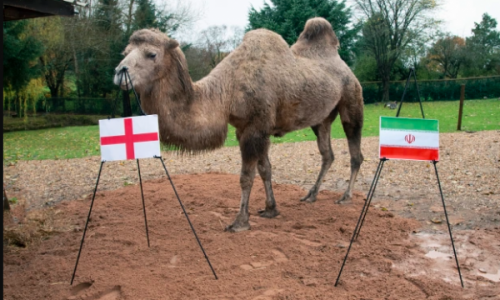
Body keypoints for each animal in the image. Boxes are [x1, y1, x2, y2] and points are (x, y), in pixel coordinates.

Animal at [113, 17, 364, 233]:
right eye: (125, 52)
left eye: (151, 54)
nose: (119, 72)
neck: (226, 92)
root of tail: (344, 66)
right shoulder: (248, 128)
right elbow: (265, 169)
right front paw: (271, 209)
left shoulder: (256, 127)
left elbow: (246, 176)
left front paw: (240, 222)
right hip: (323, 118)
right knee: (327, 153)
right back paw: (311, 195)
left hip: (352, 98)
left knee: (355, 152)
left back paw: (345, 197)